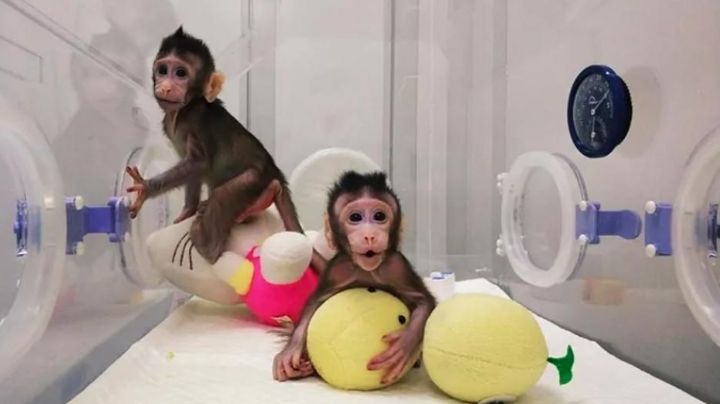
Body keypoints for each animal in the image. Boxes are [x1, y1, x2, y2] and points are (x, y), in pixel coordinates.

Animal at [124, 26, 326, 272]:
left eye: (180, 73)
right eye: (163, 70)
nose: (165, 86)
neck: (183, 110)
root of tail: (275, 173)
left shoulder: (196, 120)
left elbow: (199, 163)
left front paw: (145, 188)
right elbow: (193, 171)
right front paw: (187, 211)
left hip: (254, 179)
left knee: (224, 195)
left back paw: (204, 243)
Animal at [272, 170, 437, 385]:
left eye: (379, 216)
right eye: (355, 217)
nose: (369, 236)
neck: (366, 270)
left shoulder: (397, 266)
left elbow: (424, 301)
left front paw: (403, 346)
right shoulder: (338, 269)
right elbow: (314, 303)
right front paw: (291, 349)